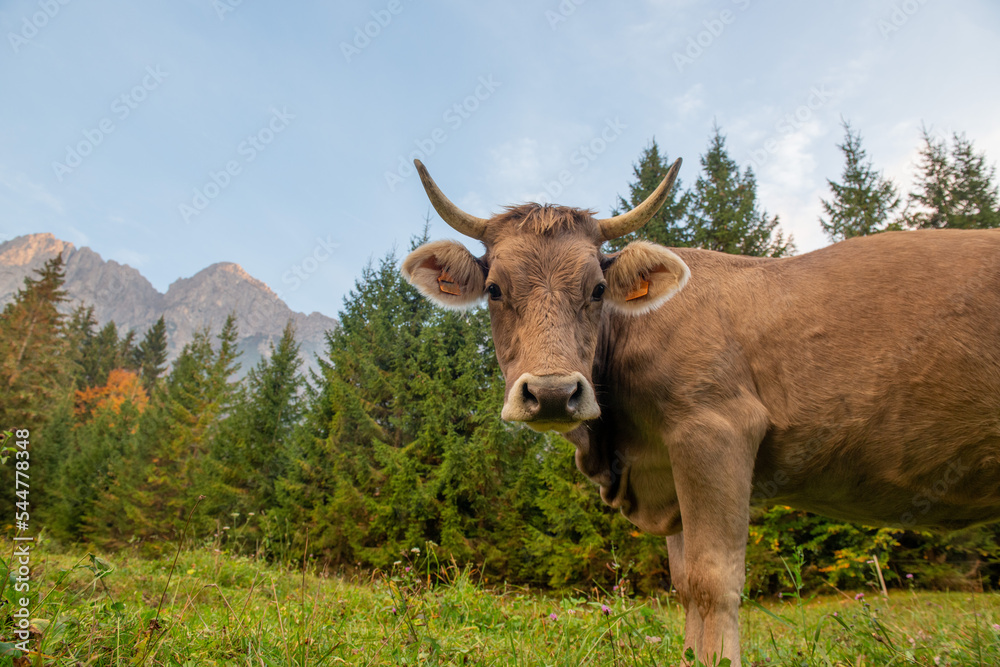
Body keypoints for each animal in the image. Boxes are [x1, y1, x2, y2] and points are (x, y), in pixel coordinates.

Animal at [402, 158, 1000, 667]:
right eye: (495, 289)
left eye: (597, 288)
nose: (552, 392)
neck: (621, 451)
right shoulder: (668, 467)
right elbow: (686, 582)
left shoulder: (715, 431)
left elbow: (715, 580)